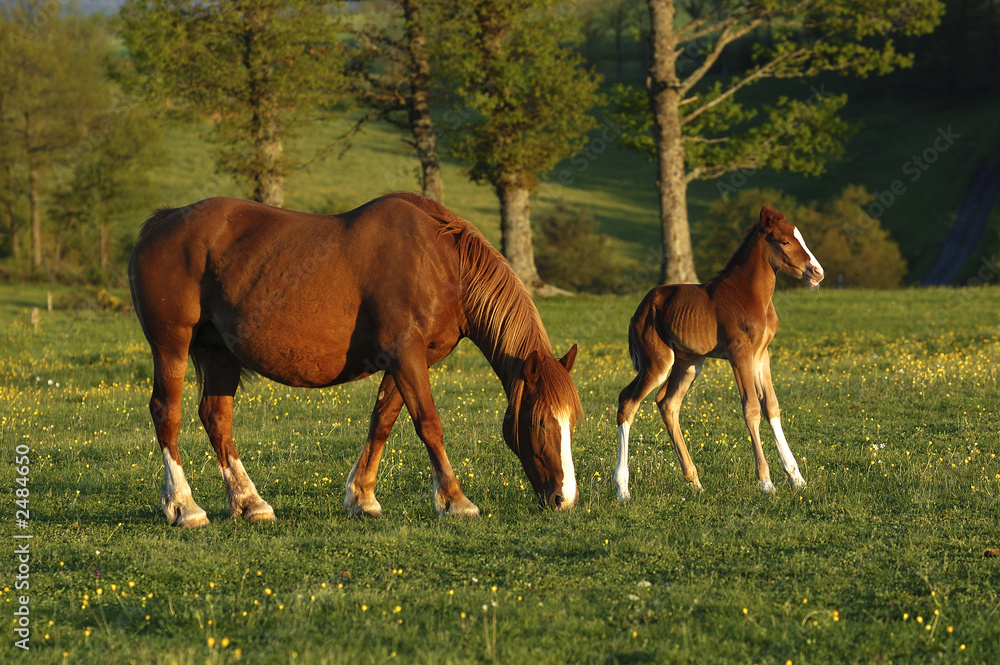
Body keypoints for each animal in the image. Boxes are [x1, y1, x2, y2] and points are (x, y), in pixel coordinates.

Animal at [126, 192, 584, 524]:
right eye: (540, 423)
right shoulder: (406, 354)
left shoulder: (408, 359)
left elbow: (382, 421)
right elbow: (429, 425)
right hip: (171, 347)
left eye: (571, 423)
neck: (441, 262)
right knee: (167, 414)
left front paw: (362, 497)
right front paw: (456, 501)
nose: (564, 499)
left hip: (221, 354)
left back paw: (249, 502)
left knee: (216, 418)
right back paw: (184, 508)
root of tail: (161, 223)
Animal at [612, 205, 824, 496]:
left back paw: (694, 481)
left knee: (667, 403)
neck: (750, 295)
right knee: (628, 403)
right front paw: (766, 482)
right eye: (784, 242)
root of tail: (639, 311)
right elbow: (751, 408)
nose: (817, 272)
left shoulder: (762, 356)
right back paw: (623, 489)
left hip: (689, 364)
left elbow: (771, 406)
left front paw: (796, 478)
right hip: (657, 363)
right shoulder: (740, 355)